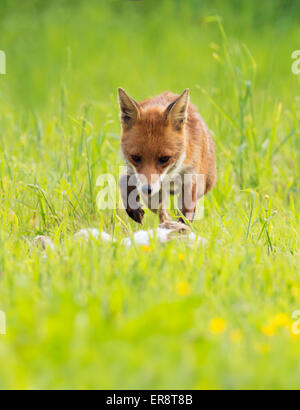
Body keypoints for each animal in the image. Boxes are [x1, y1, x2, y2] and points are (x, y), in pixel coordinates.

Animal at [118, 88, 217, 231]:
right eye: (135, 157)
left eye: (165, 158)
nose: (147, 189)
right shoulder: (133, 172)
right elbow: (124, 182)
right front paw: (135, 210)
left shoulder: (192, 175)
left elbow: (185, 211)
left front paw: (181, 226)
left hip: (207, 181)